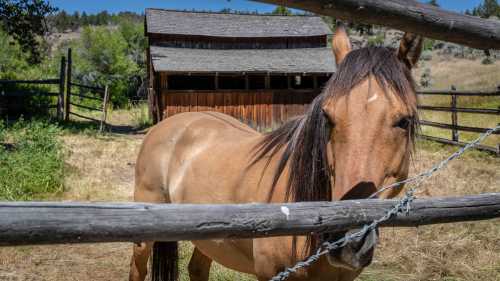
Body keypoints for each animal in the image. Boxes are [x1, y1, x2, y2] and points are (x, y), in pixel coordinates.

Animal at [129, 26, 422, 280]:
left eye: (404, 121)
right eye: (328, 117)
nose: (345, 237)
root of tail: (167, 124)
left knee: (197, 269)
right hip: (144, 236)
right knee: (138, 270)